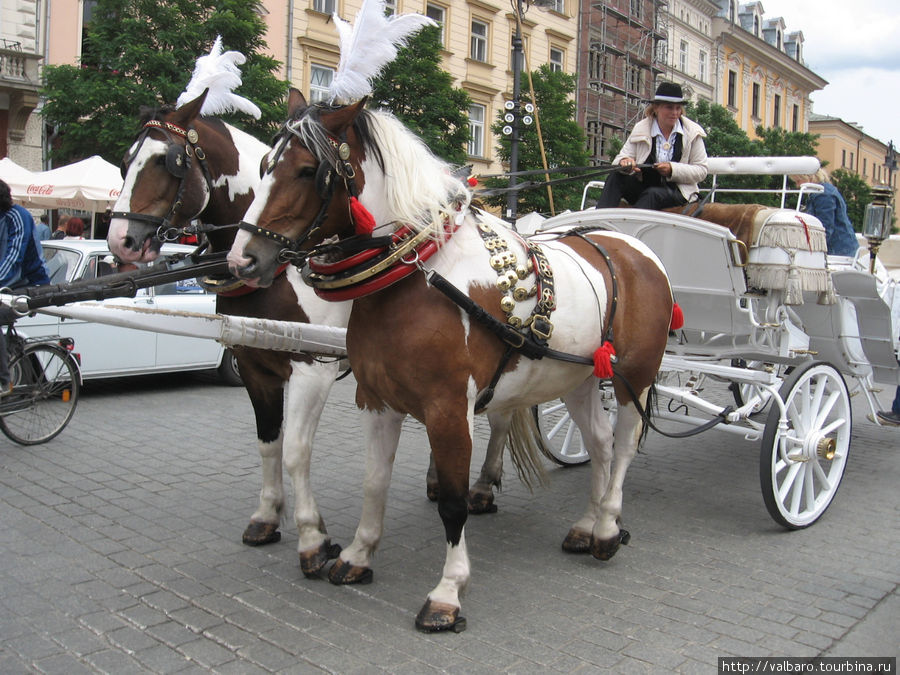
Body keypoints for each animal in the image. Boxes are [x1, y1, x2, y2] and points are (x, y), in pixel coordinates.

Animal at [225, 92, 676, 632]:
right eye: (264, 167)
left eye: (308, 170)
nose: (243, 260)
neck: (415, 275)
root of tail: (632, 246)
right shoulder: (375, 400)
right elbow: (374, 482)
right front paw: (357, 555)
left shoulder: (448, 410)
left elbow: (455, 503)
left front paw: (447, 592)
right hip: (580, 378)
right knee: (601, 444)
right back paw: (587, 525)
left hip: (633, 377)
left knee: (624, 445)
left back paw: (608, 526)